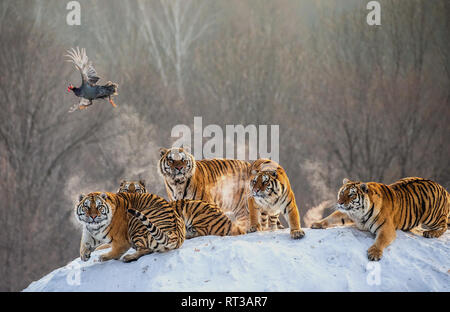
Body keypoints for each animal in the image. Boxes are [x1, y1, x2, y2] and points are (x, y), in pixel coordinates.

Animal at [312, 178, 450, 260]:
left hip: (432, 216)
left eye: (351, 194)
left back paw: (431, 233)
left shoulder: (386, 228)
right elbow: (331, 218)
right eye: (342, 192)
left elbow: (380, 240)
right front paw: (317, 224)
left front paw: (374, 253)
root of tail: (442, 187)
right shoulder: (347, 213)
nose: (339, 203)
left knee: (443, 225)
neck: (358, 213)